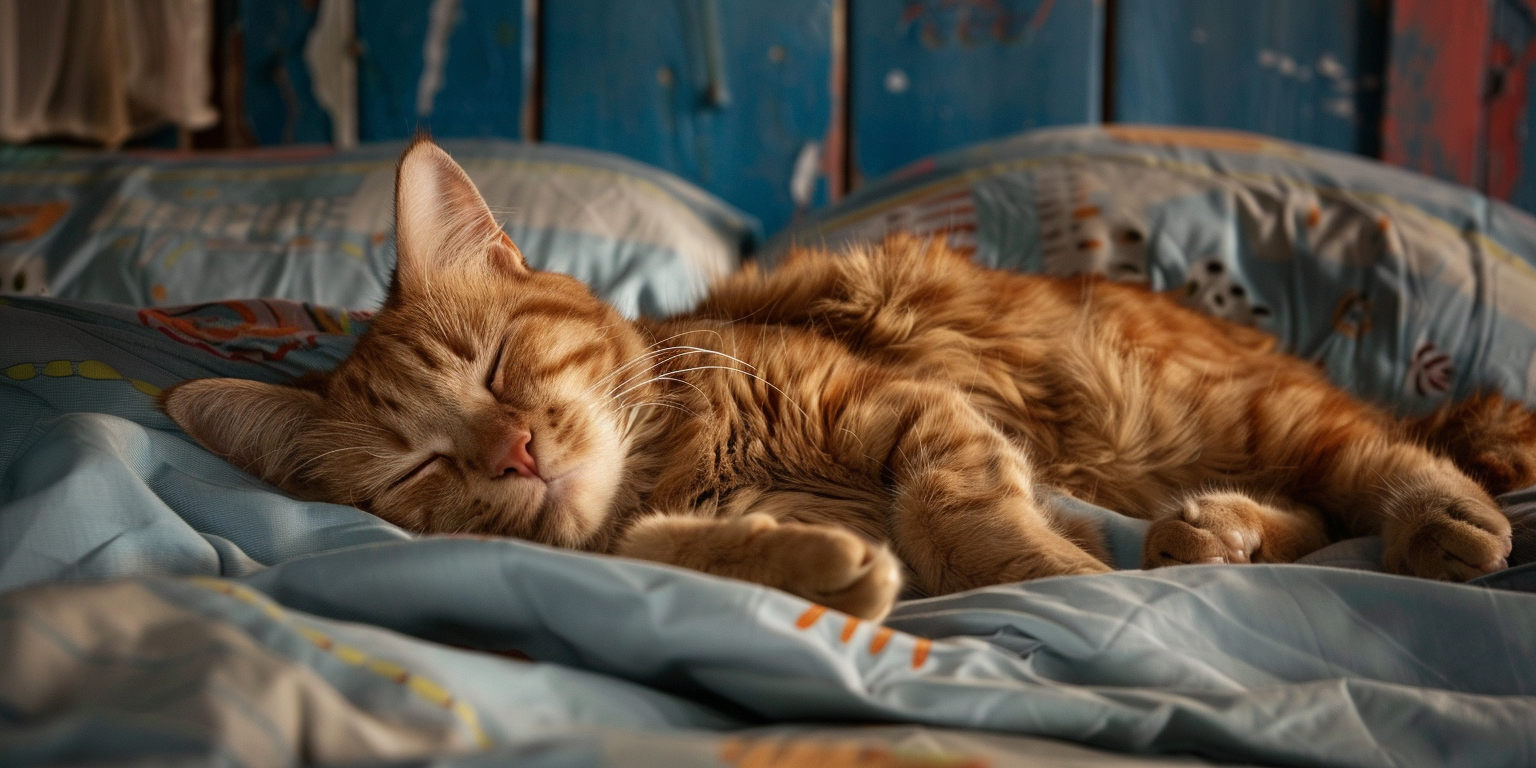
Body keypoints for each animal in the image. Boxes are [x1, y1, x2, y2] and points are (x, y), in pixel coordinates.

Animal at [162, 138, 1529, 620]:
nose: (518, 453)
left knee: (1380, 459)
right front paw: (816, 568)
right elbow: (650, 552)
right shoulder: (627, 529)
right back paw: (1213, 536)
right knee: (1306, 509)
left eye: (499, 366)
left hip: (1225, 409)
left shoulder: (912, 410)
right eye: (419, 468)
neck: (688, 455)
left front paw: (1045, 573)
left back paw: (1440, 523)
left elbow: (962, 514)